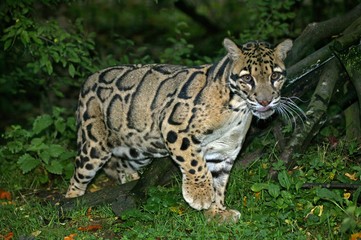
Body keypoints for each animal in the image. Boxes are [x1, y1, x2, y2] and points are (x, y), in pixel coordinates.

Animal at [65, 38, 292, 223]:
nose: (265, 101)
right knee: (77, 176)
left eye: (275, 76)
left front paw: (217, 211)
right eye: (247, 79)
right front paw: (200, 195)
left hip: (138, 149)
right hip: (94, 144)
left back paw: (130, 181)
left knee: (122, 164)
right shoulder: (174, 127)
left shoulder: (225, 151)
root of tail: (89, 79)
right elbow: (195, 164)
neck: (239, 107)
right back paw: (72, 204)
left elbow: (219, 182)